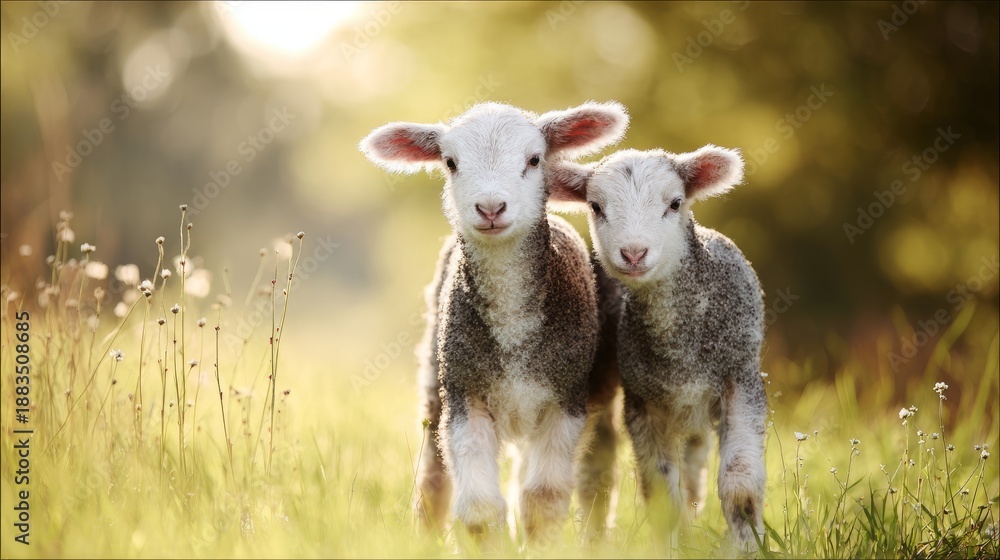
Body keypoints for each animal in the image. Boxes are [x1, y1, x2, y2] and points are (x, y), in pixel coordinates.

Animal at [359, 101, 628, 546]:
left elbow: (543, 500)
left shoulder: (566, 398)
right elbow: (481, 510)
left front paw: (540, 547)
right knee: (433, 474)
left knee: (597, 468)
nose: (490, 209)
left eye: (534, 159)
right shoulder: (466, 394)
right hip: (435, 377)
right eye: (450, 163)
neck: (512, 323)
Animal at [547, 145, 767, 552]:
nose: (634, 253)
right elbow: (662, 490)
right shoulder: (643, 401)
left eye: (675, 203)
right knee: (598, 459)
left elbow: (740, 484)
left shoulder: (741, 380)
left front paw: (748, 547)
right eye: (595, 206)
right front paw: (672, 546)